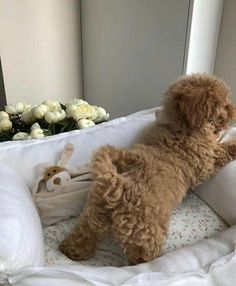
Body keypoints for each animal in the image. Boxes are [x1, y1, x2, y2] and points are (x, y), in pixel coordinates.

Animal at [58, 73, 236, 264]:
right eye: (223, 104)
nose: (233, 112)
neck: (179, 127)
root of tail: (118, 186)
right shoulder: (207, 163)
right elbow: (224, 150)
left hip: (95, 214)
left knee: (84, 235)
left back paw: (70, 251)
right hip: (145, 234)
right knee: (142, 258)